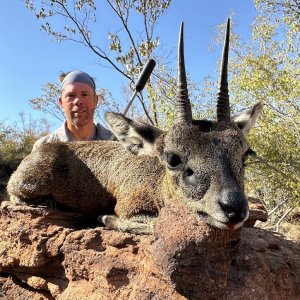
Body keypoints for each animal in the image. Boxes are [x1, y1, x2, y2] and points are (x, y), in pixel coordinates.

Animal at [5, 20, 262, 234]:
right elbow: (154, 223)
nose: (234, 208)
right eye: (173, 158)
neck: (158, 183)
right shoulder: (130, 206)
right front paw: (104, 217)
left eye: (245, 154)